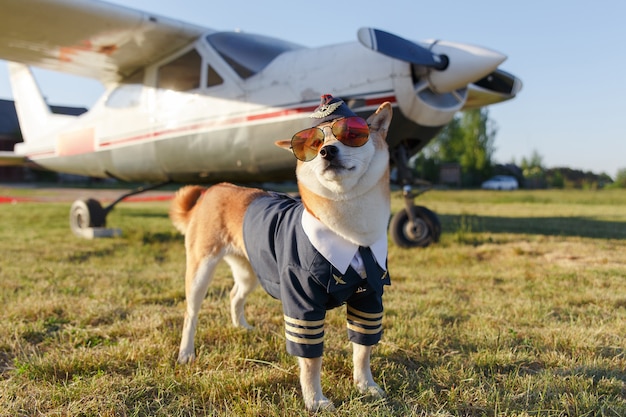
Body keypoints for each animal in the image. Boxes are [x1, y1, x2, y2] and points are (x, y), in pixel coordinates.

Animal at [169, 95, 390, 410]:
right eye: (315, 143)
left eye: (352, 134)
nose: (327, 151)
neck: (350, 234)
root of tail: (214, 189)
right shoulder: (302, 304)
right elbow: (311, 361)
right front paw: (315, 400)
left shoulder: (369, 298)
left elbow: (363, 349)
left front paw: (366, 385)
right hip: (201, 268)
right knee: (191, 313)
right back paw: (186, 352)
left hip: (251, 269)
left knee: (234, 295)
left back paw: (242, 327)